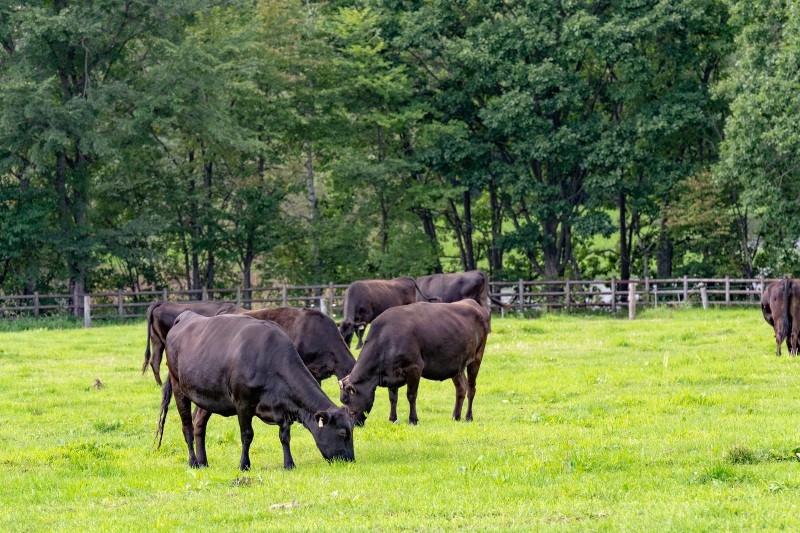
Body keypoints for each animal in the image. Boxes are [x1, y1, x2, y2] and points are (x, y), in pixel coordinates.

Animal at [338, 302, 488, 426]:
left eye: (346, 399)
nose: (353, 424)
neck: (386, 338)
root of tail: (474, 304)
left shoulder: (414, 368)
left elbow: (411, 395)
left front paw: (413, 420)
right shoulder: (390, 374)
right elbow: (393, 398)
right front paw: (392, 419)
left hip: (476, 358)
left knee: (471, 388)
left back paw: (468, 417)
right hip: (456, 365)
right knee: (461, 388)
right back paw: (456, 416)